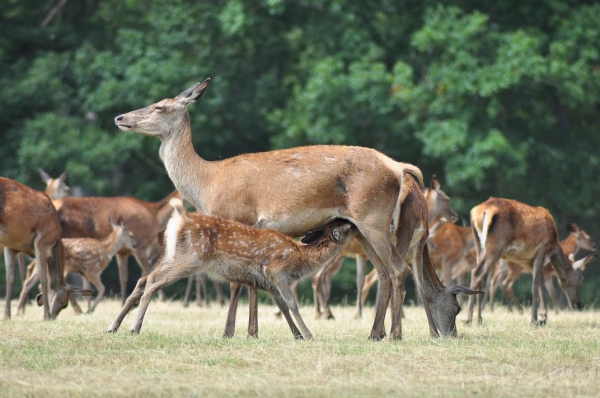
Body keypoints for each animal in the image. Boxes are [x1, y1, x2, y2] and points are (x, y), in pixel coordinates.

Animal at [0, 177, 93, 320]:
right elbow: (44, 279)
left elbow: (10, 279)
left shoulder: (10, 246)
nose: (54, 317)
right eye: (64, 303)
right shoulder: (42, 242)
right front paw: (46, 315)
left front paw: (6, 316)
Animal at [108, 199, 356, 338]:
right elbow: (292, 303)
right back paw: (134, 328)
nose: (352, 221)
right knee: (153, 282)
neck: (300, 258)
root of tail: (179, 217)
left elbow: (282, 306)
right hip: (192, 258)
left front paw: (297, 335)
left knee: (143, 280)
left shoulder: (270, 284)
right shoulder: (276, 270)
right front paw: (308, 334)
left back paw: (113, 326)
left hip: (171, 255)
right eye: (345, 226)